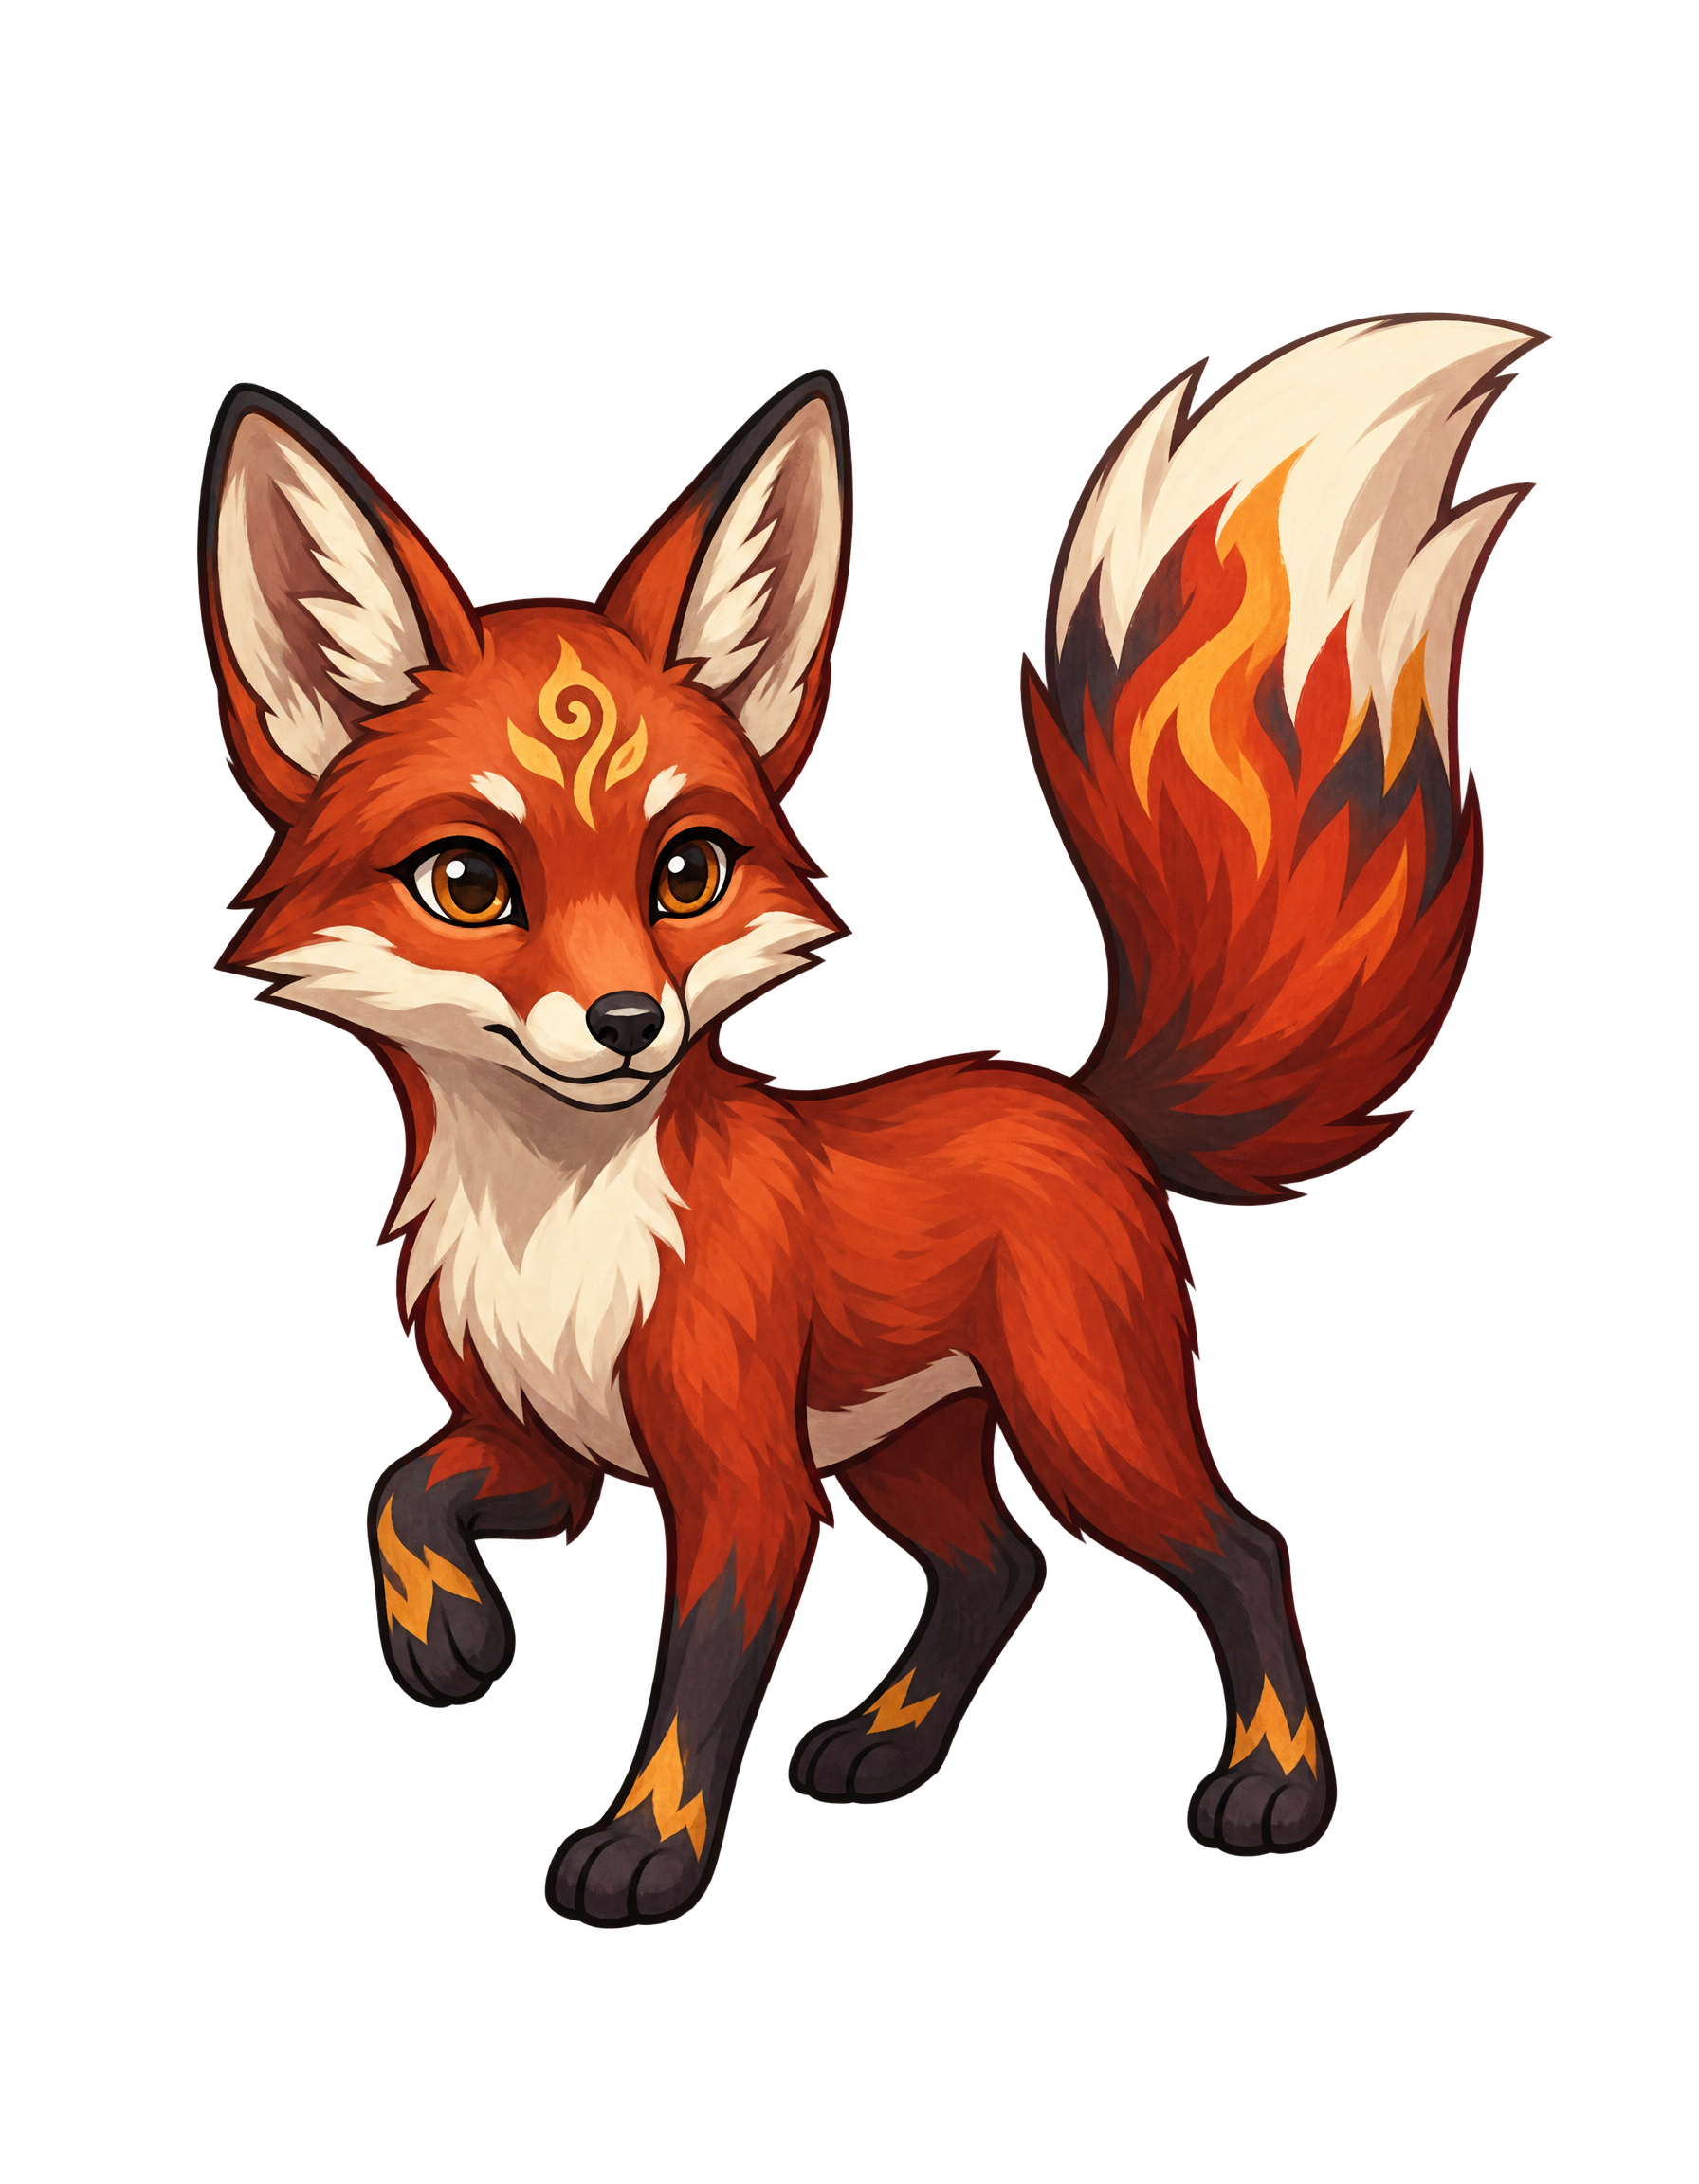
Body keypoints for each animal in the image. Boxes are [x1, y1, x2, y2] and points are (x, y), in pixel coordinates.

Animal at [207, 316, 1530, 1920]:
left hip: (1088, 1425)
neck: (554, 1228)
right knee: (997, 1570)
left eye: (689, 871)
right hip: (910, 1446)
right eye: (468, 882)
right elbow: (406, 1495)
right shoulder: (547, 1445)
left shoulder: (751, 1488)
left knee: (1238, 1551)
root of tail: (1070, 1100)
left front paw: (651, 1848)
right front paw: (442, 1634)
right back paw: (893, 1742)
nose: (630, 1023)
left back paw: (1276, 1779)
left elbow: (696, 1686)